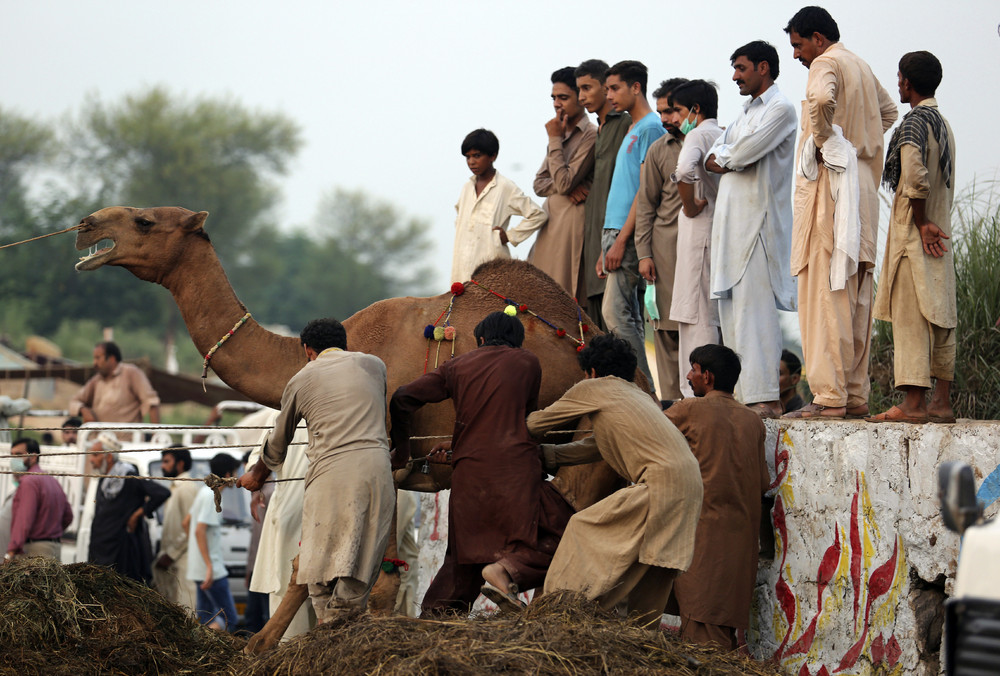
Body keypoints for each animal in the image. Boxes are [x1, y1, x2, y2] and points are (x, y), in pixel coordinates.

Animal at [76, 205, 624, 648]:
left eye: (144, 220)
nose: (87, 224)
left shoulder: (380, 460)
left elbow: (341, 568)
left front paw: (261, 647)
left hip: (586, 440)